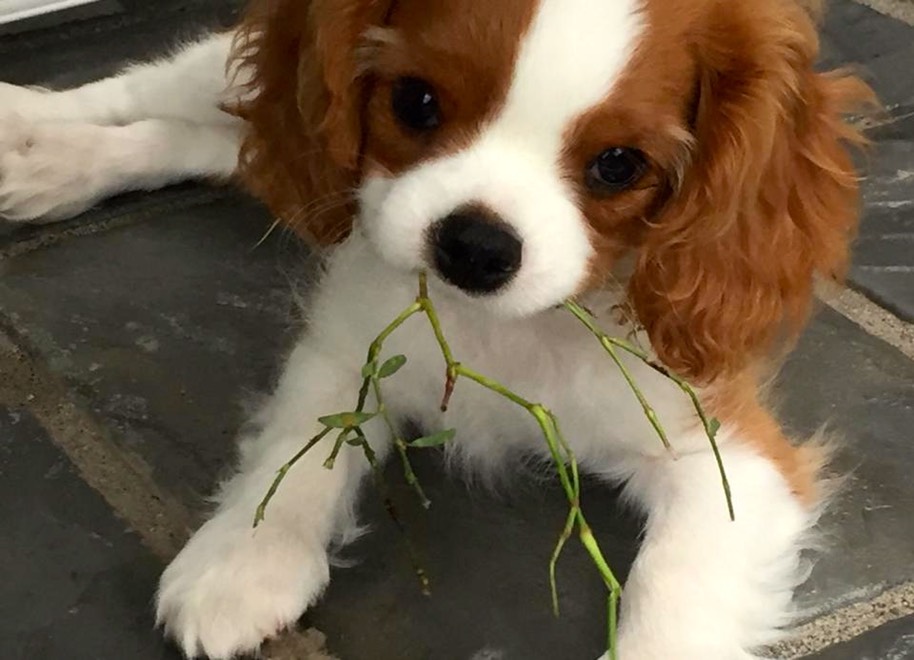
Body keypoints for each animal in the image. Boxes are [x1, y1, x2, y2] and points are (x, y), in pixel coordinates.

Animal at [0, 0, 868, 656]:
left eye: (619, 165)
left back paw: (49, 161)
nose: (476, 245)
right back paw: (33, 131)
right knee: (163, 90)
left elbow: (675, 592)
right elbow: (303, 448)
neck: (504, 330)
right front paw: (242, 559)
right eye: (415, 103)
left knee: (219, 141)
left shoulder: (728, 453)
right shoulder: (351, 337)